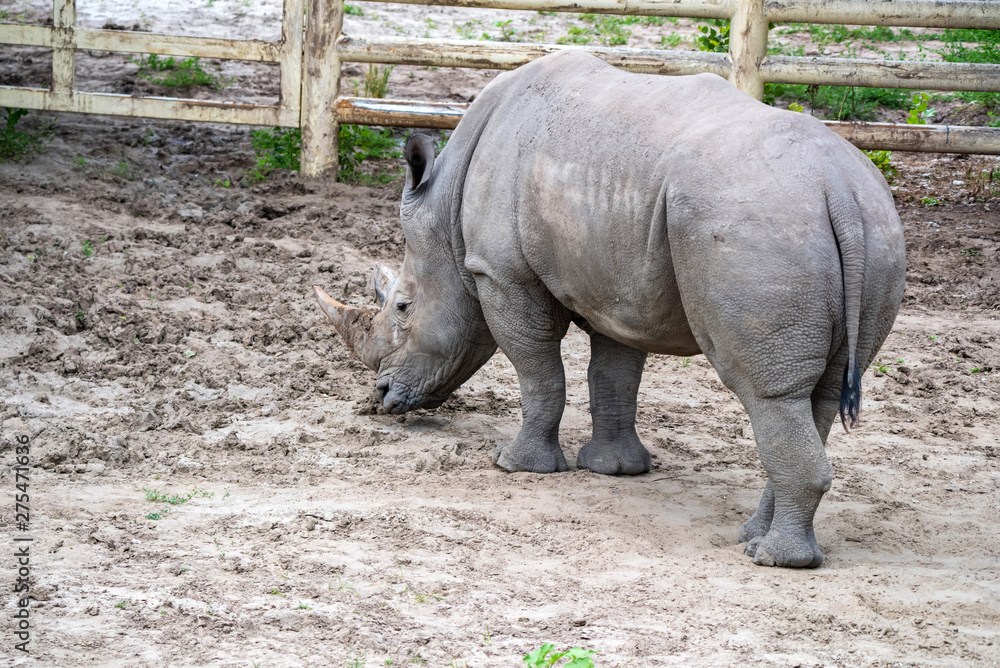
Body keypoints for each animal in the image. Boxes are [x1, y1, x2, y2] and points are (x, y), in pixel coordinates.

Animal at [314, 50, 906, 568]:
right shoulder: (617, 287)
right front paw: (615, 470)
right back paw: (753, 537)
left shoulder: (500, 273)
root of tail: (840, 190)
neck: (447, 211)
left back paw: (773, 560)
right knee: (816, 396)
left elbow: (538, 370)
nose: (381, 398)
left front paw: (516, 466)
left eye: (402, 307)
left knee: (767, 392)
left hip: (758, 226)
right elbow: (613, 376)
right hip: (875, 229)